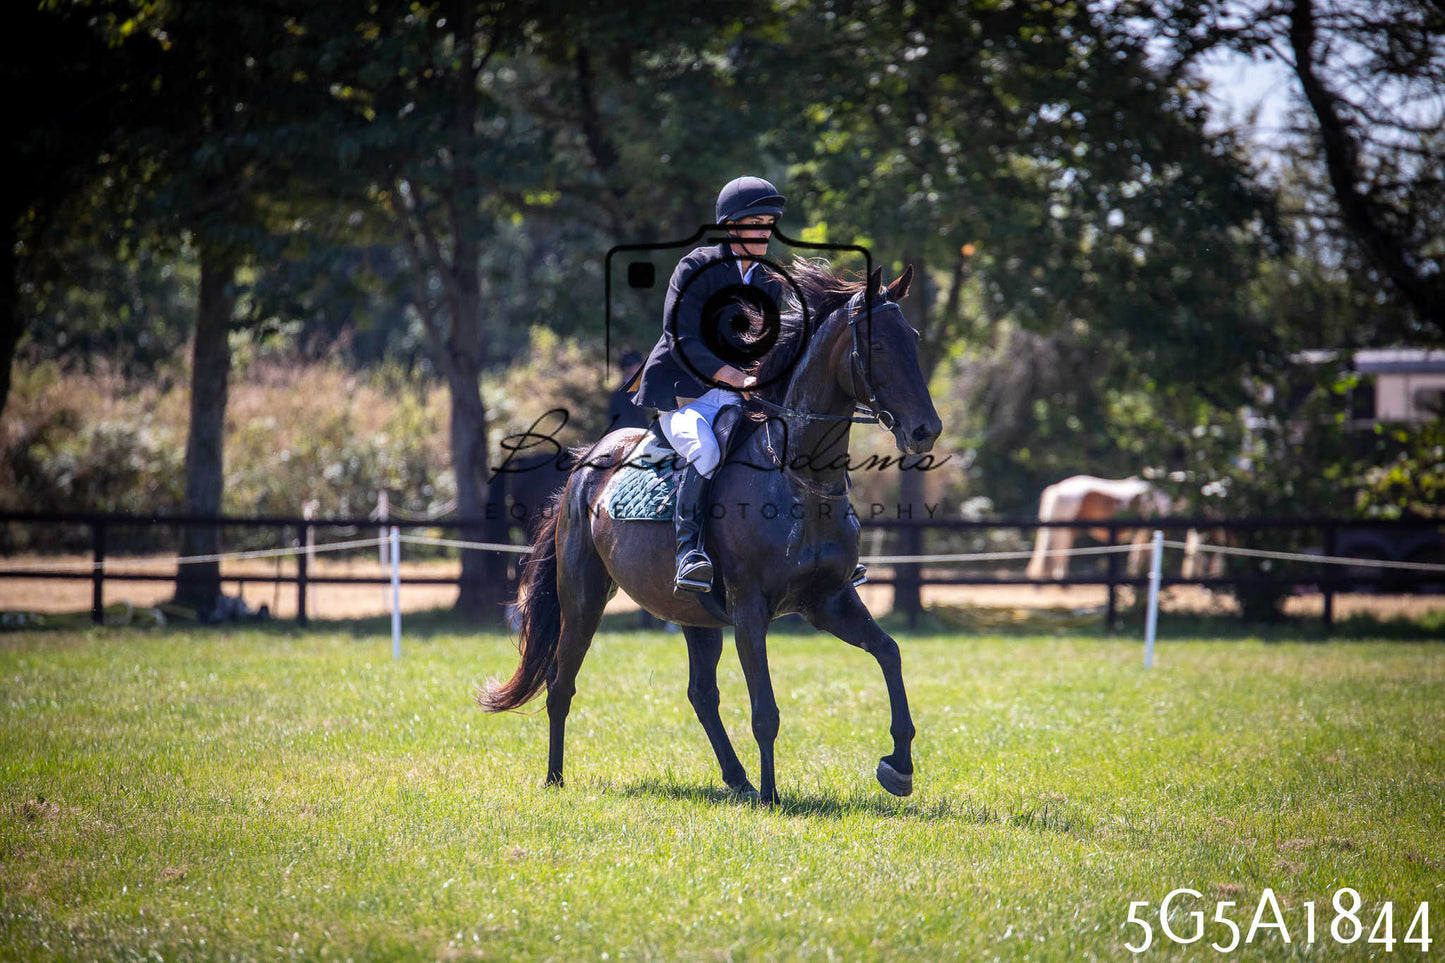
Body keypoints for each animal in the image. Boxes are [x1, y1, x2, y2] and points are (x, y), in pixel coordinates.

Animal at [477, 261, 941, 805]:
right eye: (879, 345)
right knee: (560, 683)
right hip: (584, 599)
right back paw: (555, 778)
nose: (926, 430)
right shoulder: (749, 609)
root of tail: (587, 459)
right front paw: (773, 798)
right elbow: (765, 711)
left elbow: (889, 653)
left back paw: (737, 779)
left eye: (914, 338)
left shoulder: (828, 600)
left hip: (693, 614)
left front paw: (899, 765)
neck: (798, 481)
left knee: (701, 694)